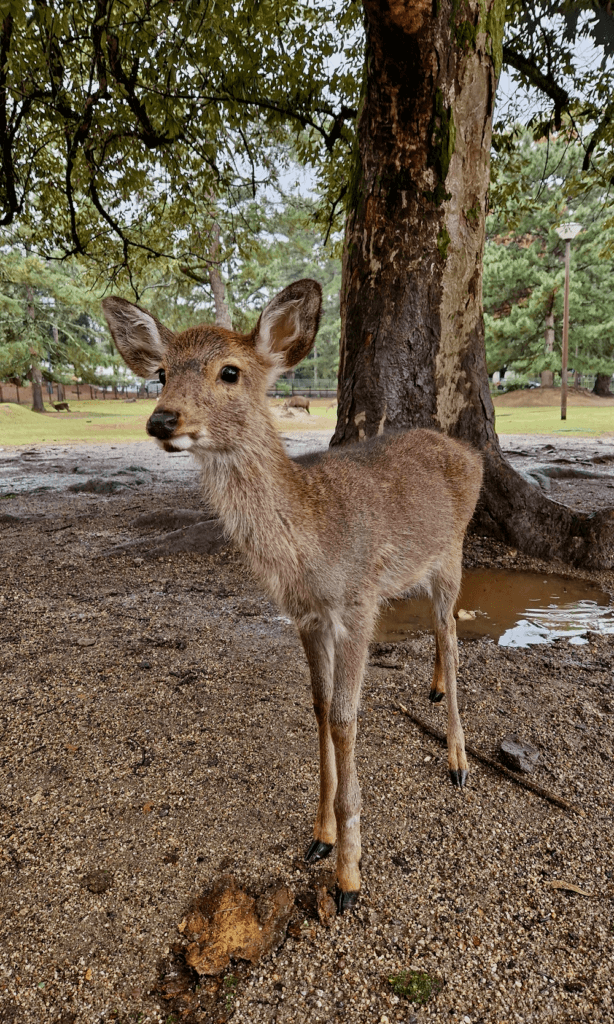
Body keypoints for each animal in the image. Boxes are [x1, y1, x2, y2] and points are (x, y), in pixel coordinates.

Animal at [101, 280, 485, 913]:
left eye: (229, 371)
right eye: (160, 373)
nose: (162, 420)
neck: (308, 545)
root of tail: (472, 455)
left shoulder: (357, 602)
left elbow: (348, 718)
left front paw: (349, 876)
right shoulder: (304, 615)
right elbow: (321, 709)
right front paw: (319, 836)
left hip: (453, 551)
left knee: (454, 638)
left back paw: (457, 760)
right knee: (439, 631)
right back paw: (429, 693)